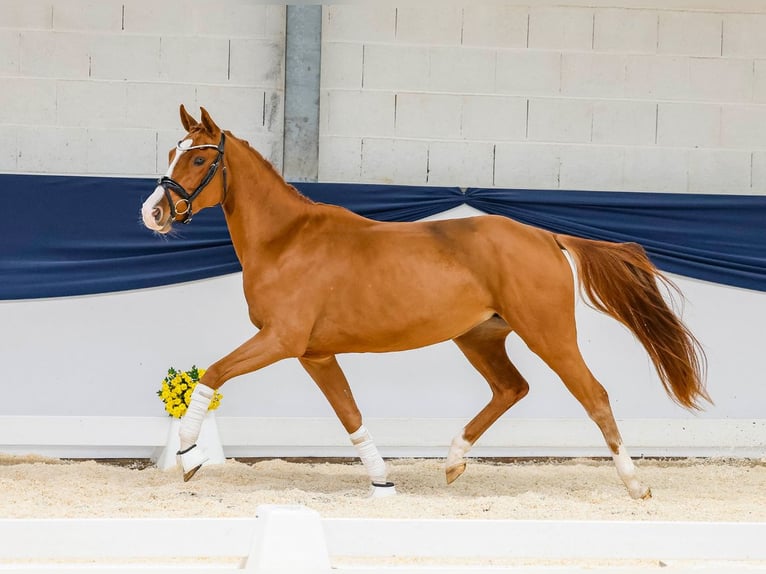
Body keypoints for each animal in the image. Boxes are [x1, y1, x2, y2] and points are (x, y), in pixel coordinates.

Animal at [142, 107, 708, 500]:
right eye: (170, 153)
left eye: (199, 157)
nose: (153, 213)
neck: (287, 240)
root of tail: (546, 236)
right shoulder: (315, 353)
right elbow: (350, 414)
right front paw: (381, 482)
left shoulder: (280, 340)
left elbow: (213, 374)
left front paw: (189, 455)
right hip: (479, 337)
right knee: (512, 388)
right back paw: (453, 462)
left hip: (549, 334)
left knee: (594, 395)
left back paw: (636, 486)